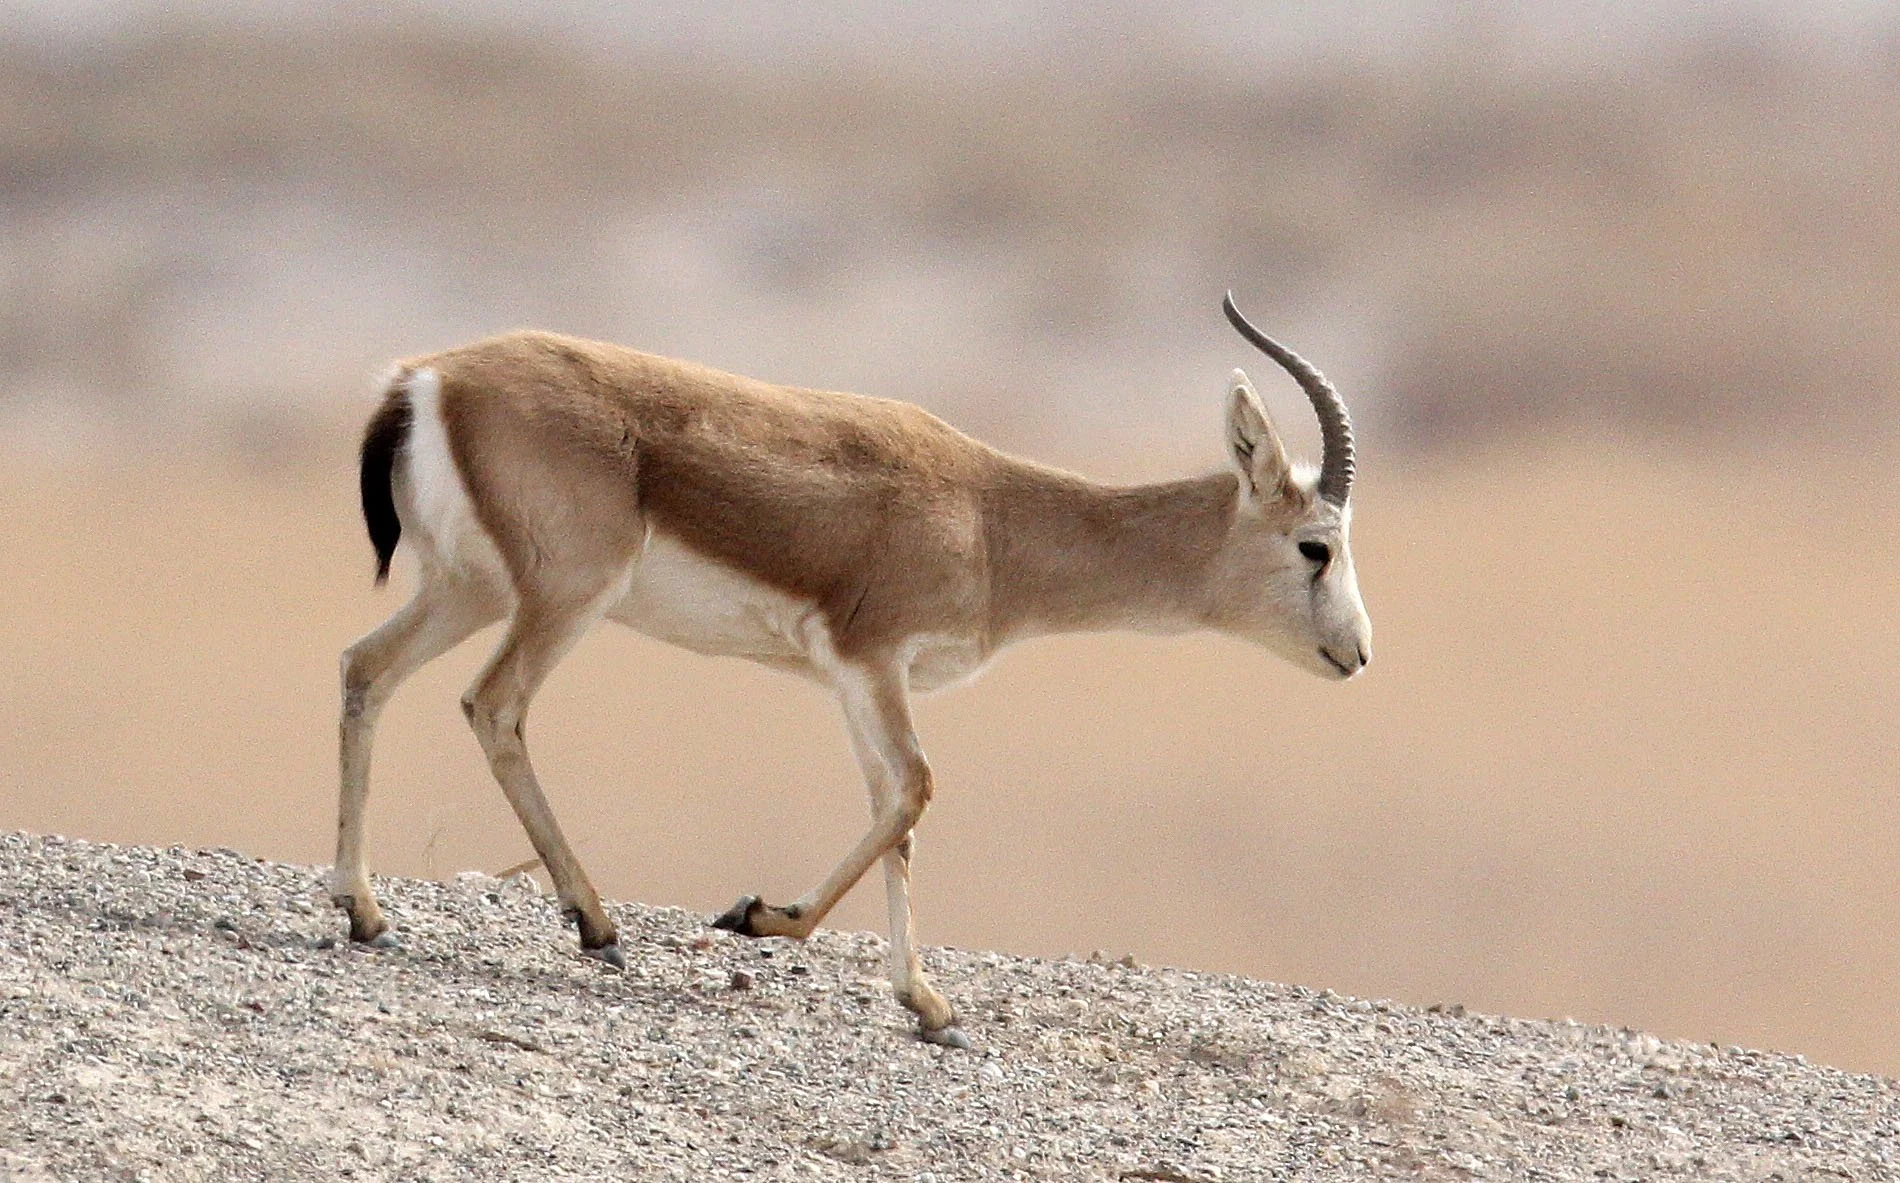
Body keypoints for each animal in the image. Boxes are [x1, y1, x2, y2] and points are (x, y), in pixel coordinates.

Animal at [333, 294, 1370, 1048]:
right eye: (1316, 545)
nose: (1359, 652)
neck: (992, 516)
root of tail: (426, 377)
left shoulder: (856, 679)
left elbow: (894, 813)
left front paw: (925, 1002)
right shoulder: (871, 659)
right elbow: (915, 789)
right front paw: (757, 915)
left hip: (468, 587)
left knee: (365, 668)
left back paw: (365, 910)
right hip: (564, 598)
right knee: (493, 703)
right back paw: (593, 922)